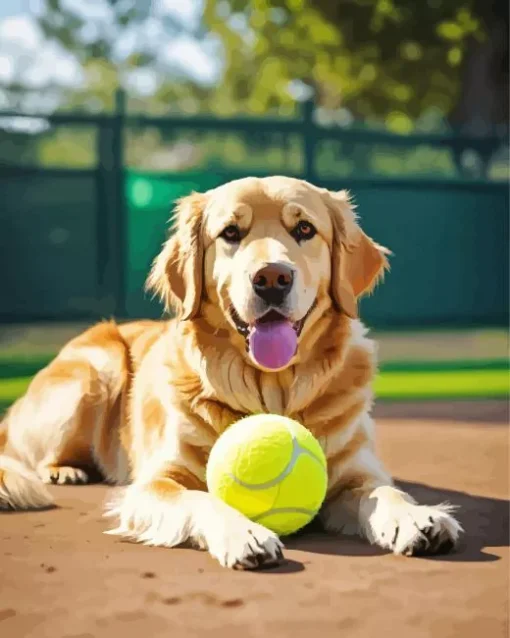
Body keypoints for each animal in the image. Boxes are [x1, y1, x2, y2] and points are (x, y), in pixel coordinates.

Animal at [0, 178, 460, 572]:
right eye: (231, 233)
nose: (272, 278)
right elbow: (202, 500)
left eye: (305, 229)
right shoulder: (155, 484)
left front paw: (416, 518)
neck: (273, 392)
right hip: (97, 369)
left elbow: (385, 492)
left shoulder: (355, 474)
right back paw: (63, 469)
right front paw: (243, 534)